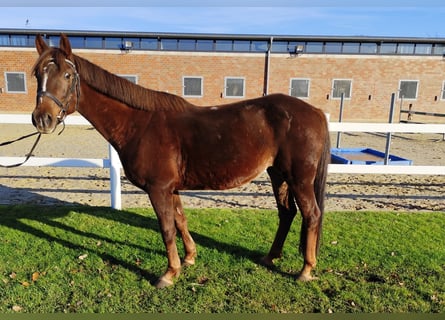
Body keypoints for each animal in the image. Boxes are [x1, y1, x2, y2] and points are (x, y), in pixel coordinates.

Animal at [30, 34, 330, 288]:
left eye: (68, 75)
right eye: (37, 74)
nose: (42, 118)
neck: (140, 124)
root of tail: (315, 111)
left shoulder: (158, 188)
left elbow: (166, 227)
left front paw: (169, 273)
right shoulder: (171, 188)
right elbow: (180, 220)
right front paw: (189, 258)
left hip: (299, 179)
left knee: (311, 214)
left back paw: (306, 269)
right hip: (278, 174)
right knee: (287, 213)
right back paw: (271, 257)